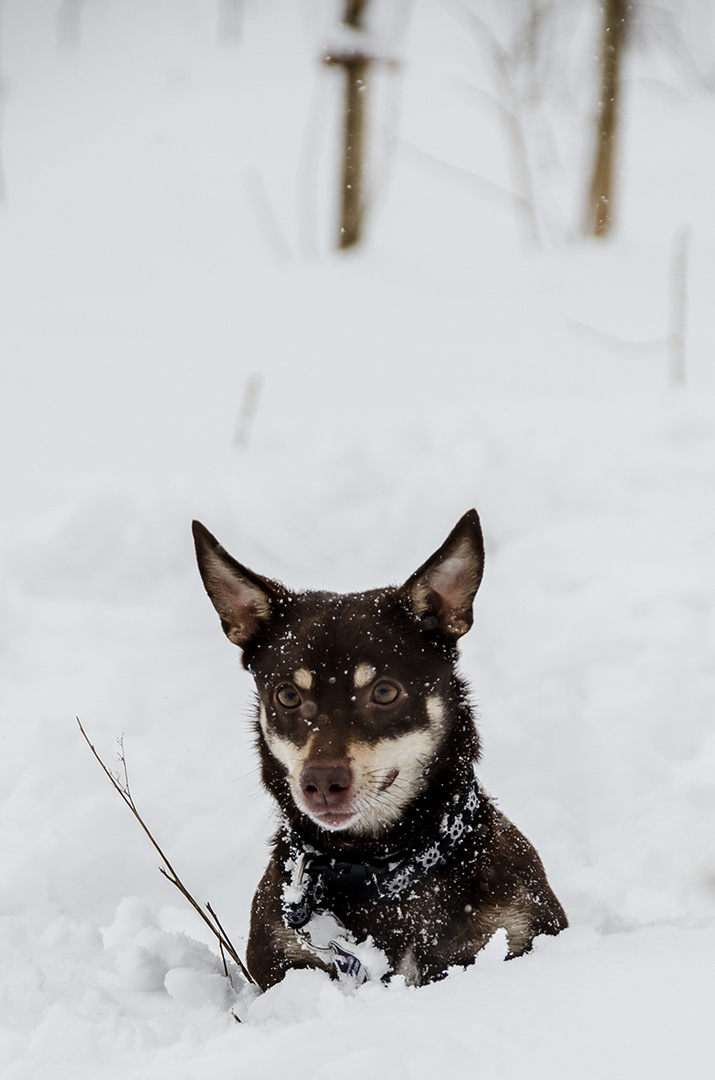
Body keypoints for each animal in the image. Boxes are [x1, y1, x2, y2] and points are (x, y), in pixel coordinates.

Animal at [193, 509, 570, 989]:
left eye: (386, 692)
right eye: (288, 696)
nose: (321, 781)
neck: (377, 866)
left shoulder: (515, 929)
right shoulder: (285, 958)